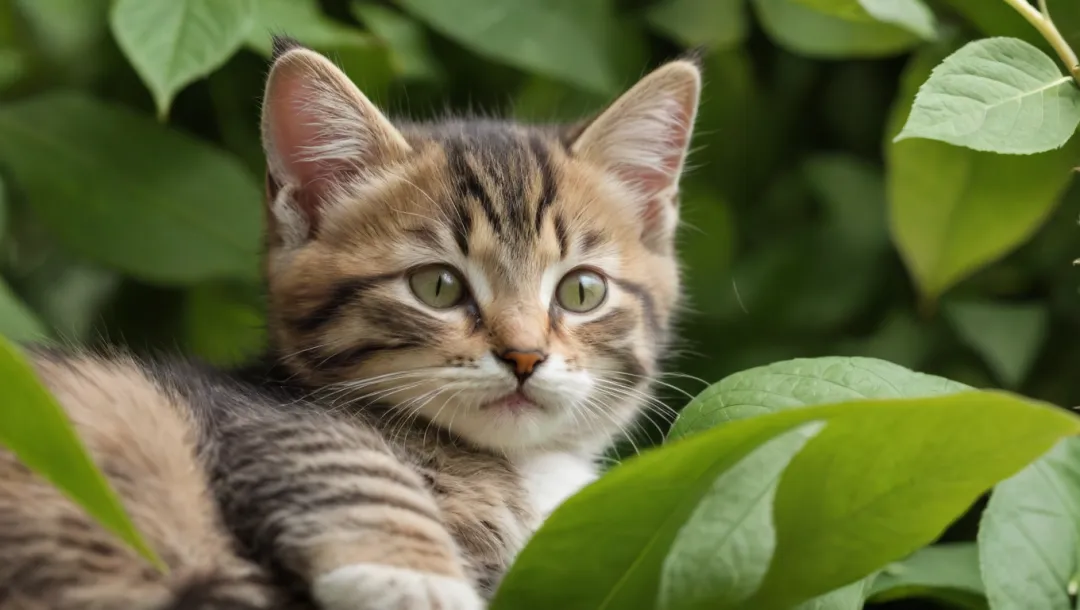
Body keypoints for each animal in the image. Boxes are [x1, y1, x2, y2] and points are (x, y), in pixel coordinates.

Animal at [0, 38, 699, 608]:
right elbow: (346, 459)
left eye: (581, 291)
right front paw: (419, 581)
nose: (525, 356)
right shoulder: (244, 409)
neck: (521, 466)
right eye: (438, 286)